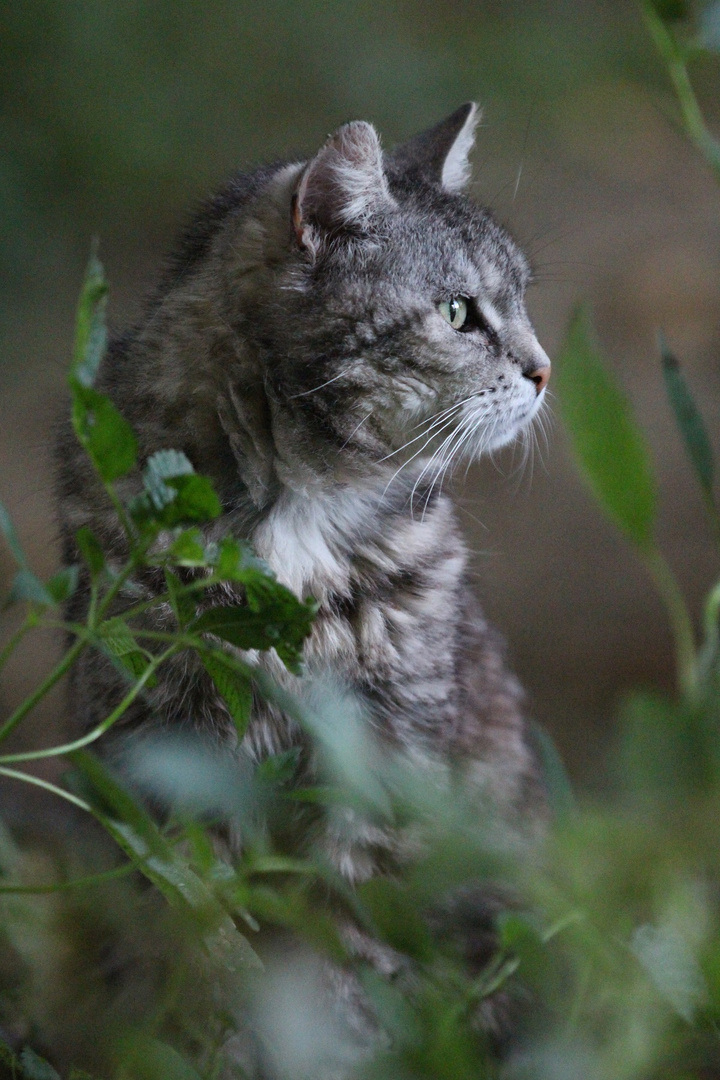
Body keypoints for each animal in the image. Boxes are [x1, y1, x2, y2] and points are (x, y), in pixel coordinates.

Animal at [55, 101, 552, 1071]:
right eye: (458, 312)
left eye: (521, 303)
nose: (546, 369)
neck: (302, 517)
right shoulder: (161, 764)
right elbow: (198, 938)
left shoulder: (385, 759)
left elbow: (339, 944)